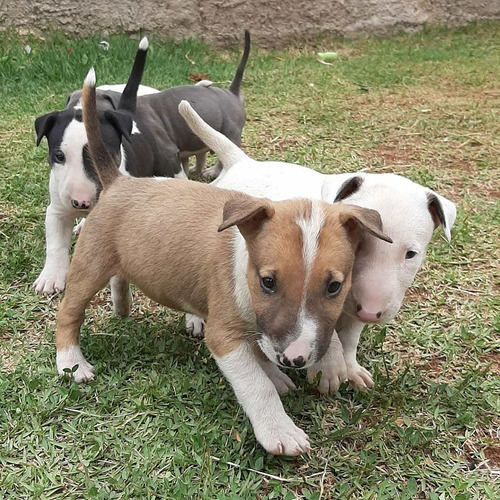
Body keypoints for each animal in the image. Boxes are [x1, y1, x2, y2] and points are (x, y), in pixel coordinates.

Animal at [54, 68, 390, 456]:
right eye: (268, 282)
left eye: (335, 286)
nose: (294, 359)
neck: (244, 265)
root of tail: (118, 182)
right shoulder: (224, 336)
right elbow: (256, 383)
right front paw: (279, 429)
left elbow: (289, 344)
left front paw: (323, 366)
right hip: (89, 264)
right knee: (69, 314)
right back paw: (72, 362)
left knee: (120, 276)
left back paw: (121, 305)